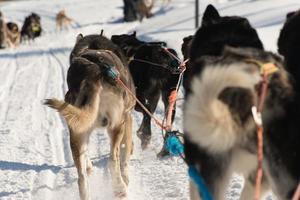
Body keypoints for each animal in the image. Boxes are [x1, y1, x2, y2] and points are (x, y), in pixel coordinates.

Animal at [44, 34, 135, 198]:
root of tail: (93, 72)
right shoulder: (127, 117)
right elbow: (125, 155)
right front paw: (126, 176)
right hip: (116, 126)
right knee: (112, 159)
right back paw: (120, 189)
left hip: (77, 131)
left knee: (82, 177)